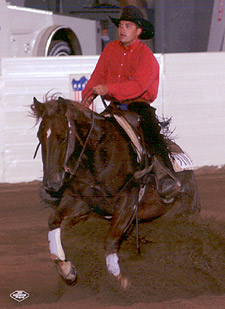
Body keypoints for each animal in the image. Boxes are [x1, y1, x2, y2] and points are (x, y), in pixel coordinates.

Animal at [30, 95, 200, 286]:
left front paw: (119, 282)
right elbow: (54, 220)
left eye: (62, 137)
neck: (100, 153)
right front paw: (66, 269)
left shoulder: (128, 201)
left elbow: (110, 240)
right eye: (40, 136)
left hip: (183, 213)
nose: (50, 184)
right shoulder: (81, 201)